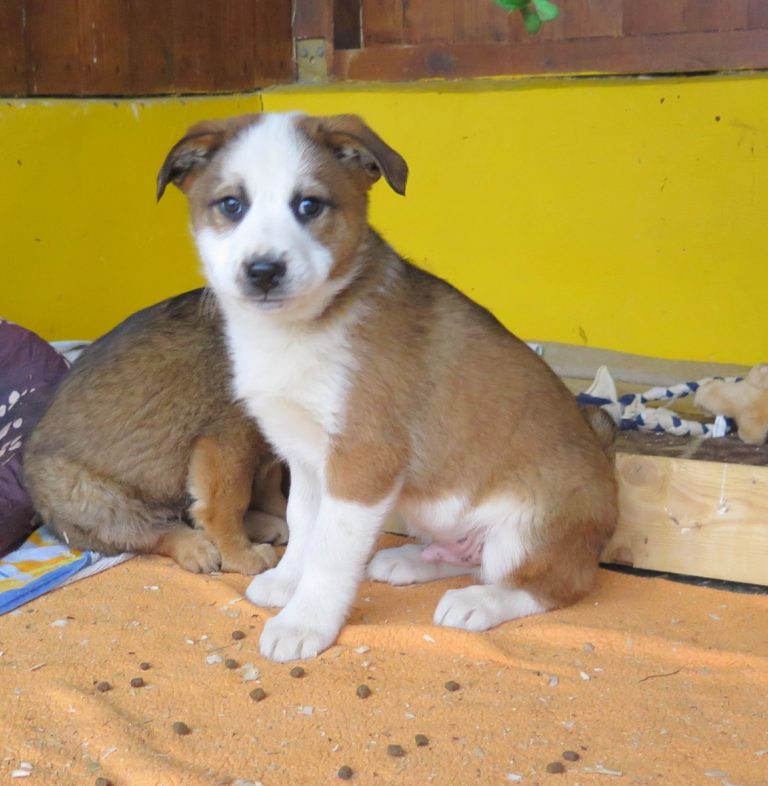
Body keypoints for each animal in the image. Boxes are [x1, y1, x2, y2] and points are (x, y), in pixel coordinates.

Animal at [25, 286, 288, 568]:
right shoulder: (228, 437)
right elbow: (228, 504)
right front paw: (241, 556)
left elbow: (272, 485)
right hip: (98, 501)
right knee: (152, 533)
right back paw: (195, 548)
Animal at [158, 112, 616, 660]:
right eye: (231, 204)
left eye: (309, 205)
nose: (264, 271)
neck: (297, 331)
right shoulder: (306, 459)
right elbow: (303, 526)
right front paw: (287, 583)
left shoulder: (362, 462)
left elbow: (330, 553)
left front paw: (305, 622)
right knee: (473, 556)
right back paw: (410, 561)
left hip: (530, 526)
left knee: (554, 584)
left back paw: (478, 603)